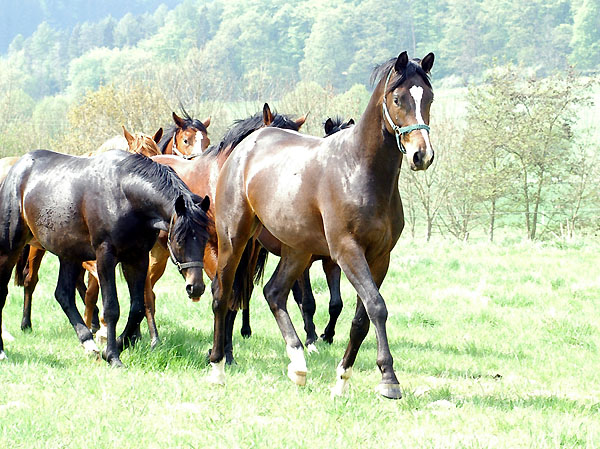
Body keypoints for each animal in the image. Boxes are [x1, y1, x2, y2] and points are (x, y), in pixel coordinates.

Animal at [0, 149, 211, 366]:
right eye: (179, 240)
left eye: (205, 238)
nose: (196, 288)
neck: (125, 196)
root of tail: (18, 167)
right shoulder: (105, 257)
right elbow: (111, 308)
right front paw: (113, 355)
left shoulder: (137, 258)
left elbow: (137, 308)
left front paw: (117, 344)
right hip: (11, 249)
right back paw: (3, 350)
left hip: (69, 254)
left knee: (63, 294)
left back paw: (88, 343)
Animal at [209, 50, 434, 398]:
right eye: (398, 99)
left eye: (429, 98)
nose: (421, 155)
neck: (358, 170)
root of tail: (245, 147)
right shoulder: (346, 252)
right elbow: (376, 307)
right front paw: (389, 379)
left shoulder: (379, 258)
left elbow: (361, 318)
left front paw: (342, 379)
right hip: (235, 240)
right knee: (223, 294)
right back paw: (219, 367)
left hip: (296, 250)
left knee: (274, 293)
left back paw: (298, 364)